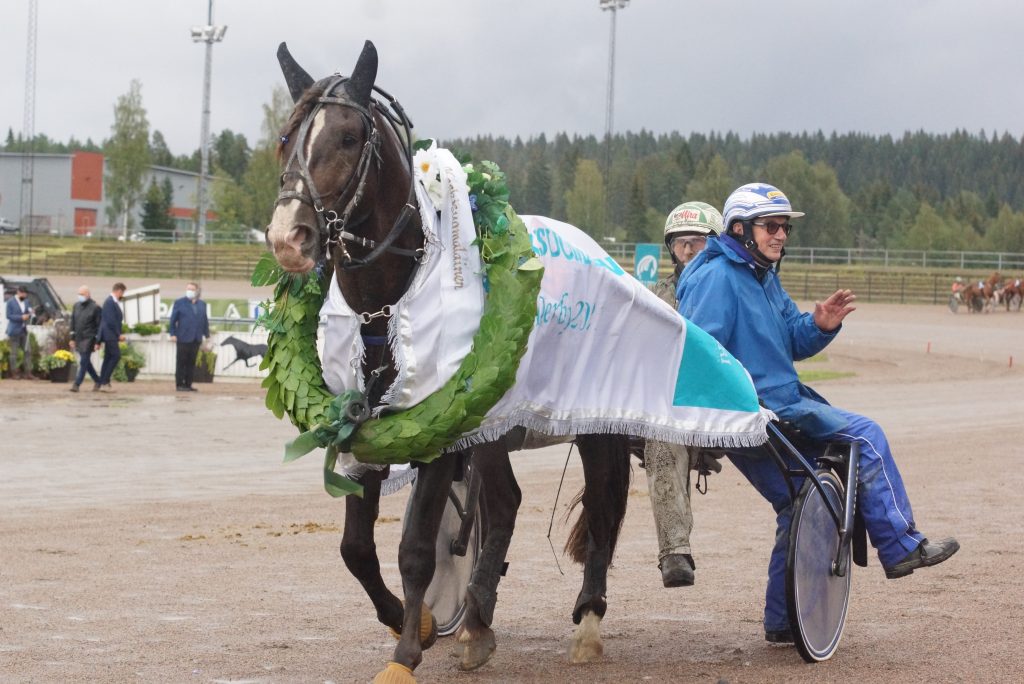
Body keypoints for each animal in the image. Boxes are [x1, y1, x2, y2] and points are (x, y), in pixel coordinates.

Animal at [264, 40, 630, 679]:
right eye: (287, 136)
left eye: (348, 137)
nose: (290, 236)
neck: (386, 304)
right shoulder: (362, 423)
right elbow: (356, 549)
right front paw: (418, 621)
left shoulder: (438, 428)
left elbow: (415, 548)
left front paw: (406, 652)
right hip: (491, 431)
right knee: (505, 504)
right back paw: (477, 624)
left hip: (596, 423)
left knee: (603, 509)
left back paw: (587, 621)